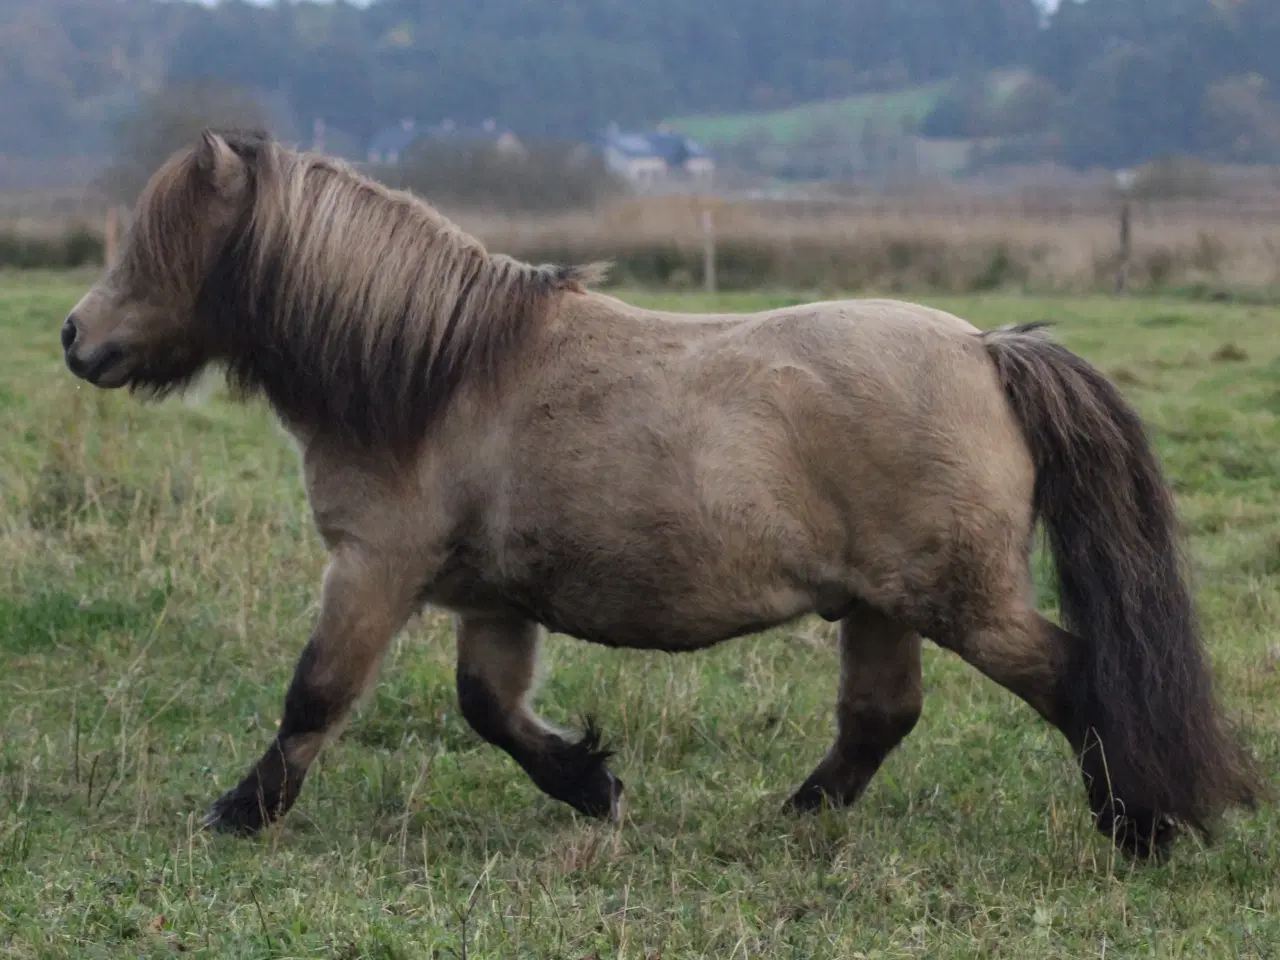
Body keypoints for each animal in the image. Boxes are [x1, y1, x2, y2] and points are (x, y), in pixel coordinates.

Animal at [60, 129, 1259, 865]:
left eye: (158, 245)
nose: (75, 336)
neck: (438, 375)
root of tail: (985, 349)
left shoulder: (372, 569)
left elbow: (313, 697)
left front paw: (238, 813)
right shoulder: (490, 601)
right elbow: (489, 709)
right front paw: (592, 786)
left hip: (963, 603)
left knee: (1072, 677)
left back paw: (1141, 824)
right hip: (882, 605)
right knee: (878, 719)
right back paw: (790, 822)